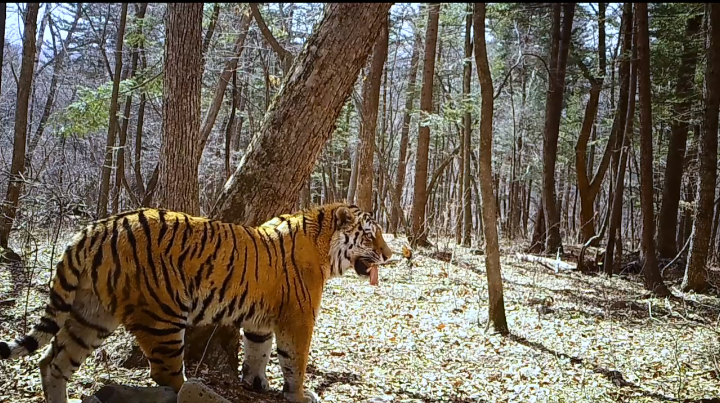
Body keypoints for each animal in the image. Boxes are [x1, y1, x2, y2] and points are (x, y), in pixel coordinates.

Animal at [1, 204, 394, 402]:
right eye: (371, 235)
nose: (390, 256)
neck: (326, 248)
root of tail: (92, 231)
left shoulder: (260, 320)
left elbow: (259, 350)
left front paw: (257, 382)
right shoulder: (298, 318)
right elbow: (294, 362)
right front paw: (298, 395)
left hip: (91, 315)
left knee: (52, 363)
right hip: (161, 318)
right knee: (167, 376)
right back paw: (196, 391)